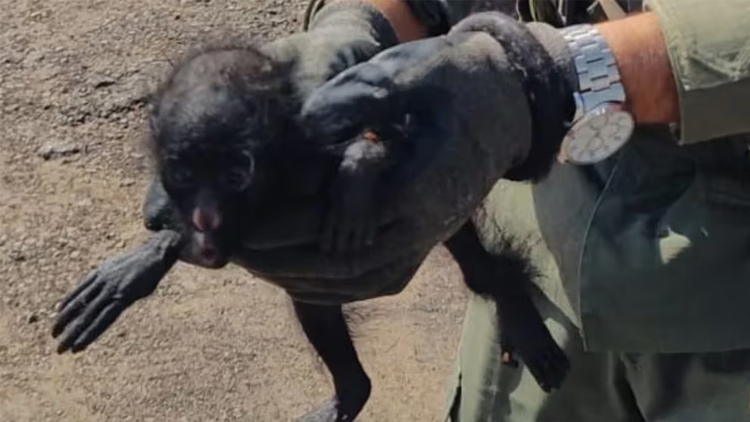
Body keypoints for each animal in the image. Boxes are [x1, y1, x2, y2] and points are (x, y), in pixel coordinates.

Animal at [52, 44, 570, 422]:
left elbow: (387, 141)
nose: (205, 215)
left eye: (236, 172)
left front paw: (357, 179)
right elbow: (183, 235)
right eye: (183, 173)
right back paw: (351, 393)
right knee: (315, 306)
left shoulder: (313, 142)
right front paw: (144, 260)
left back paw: (506, 294)